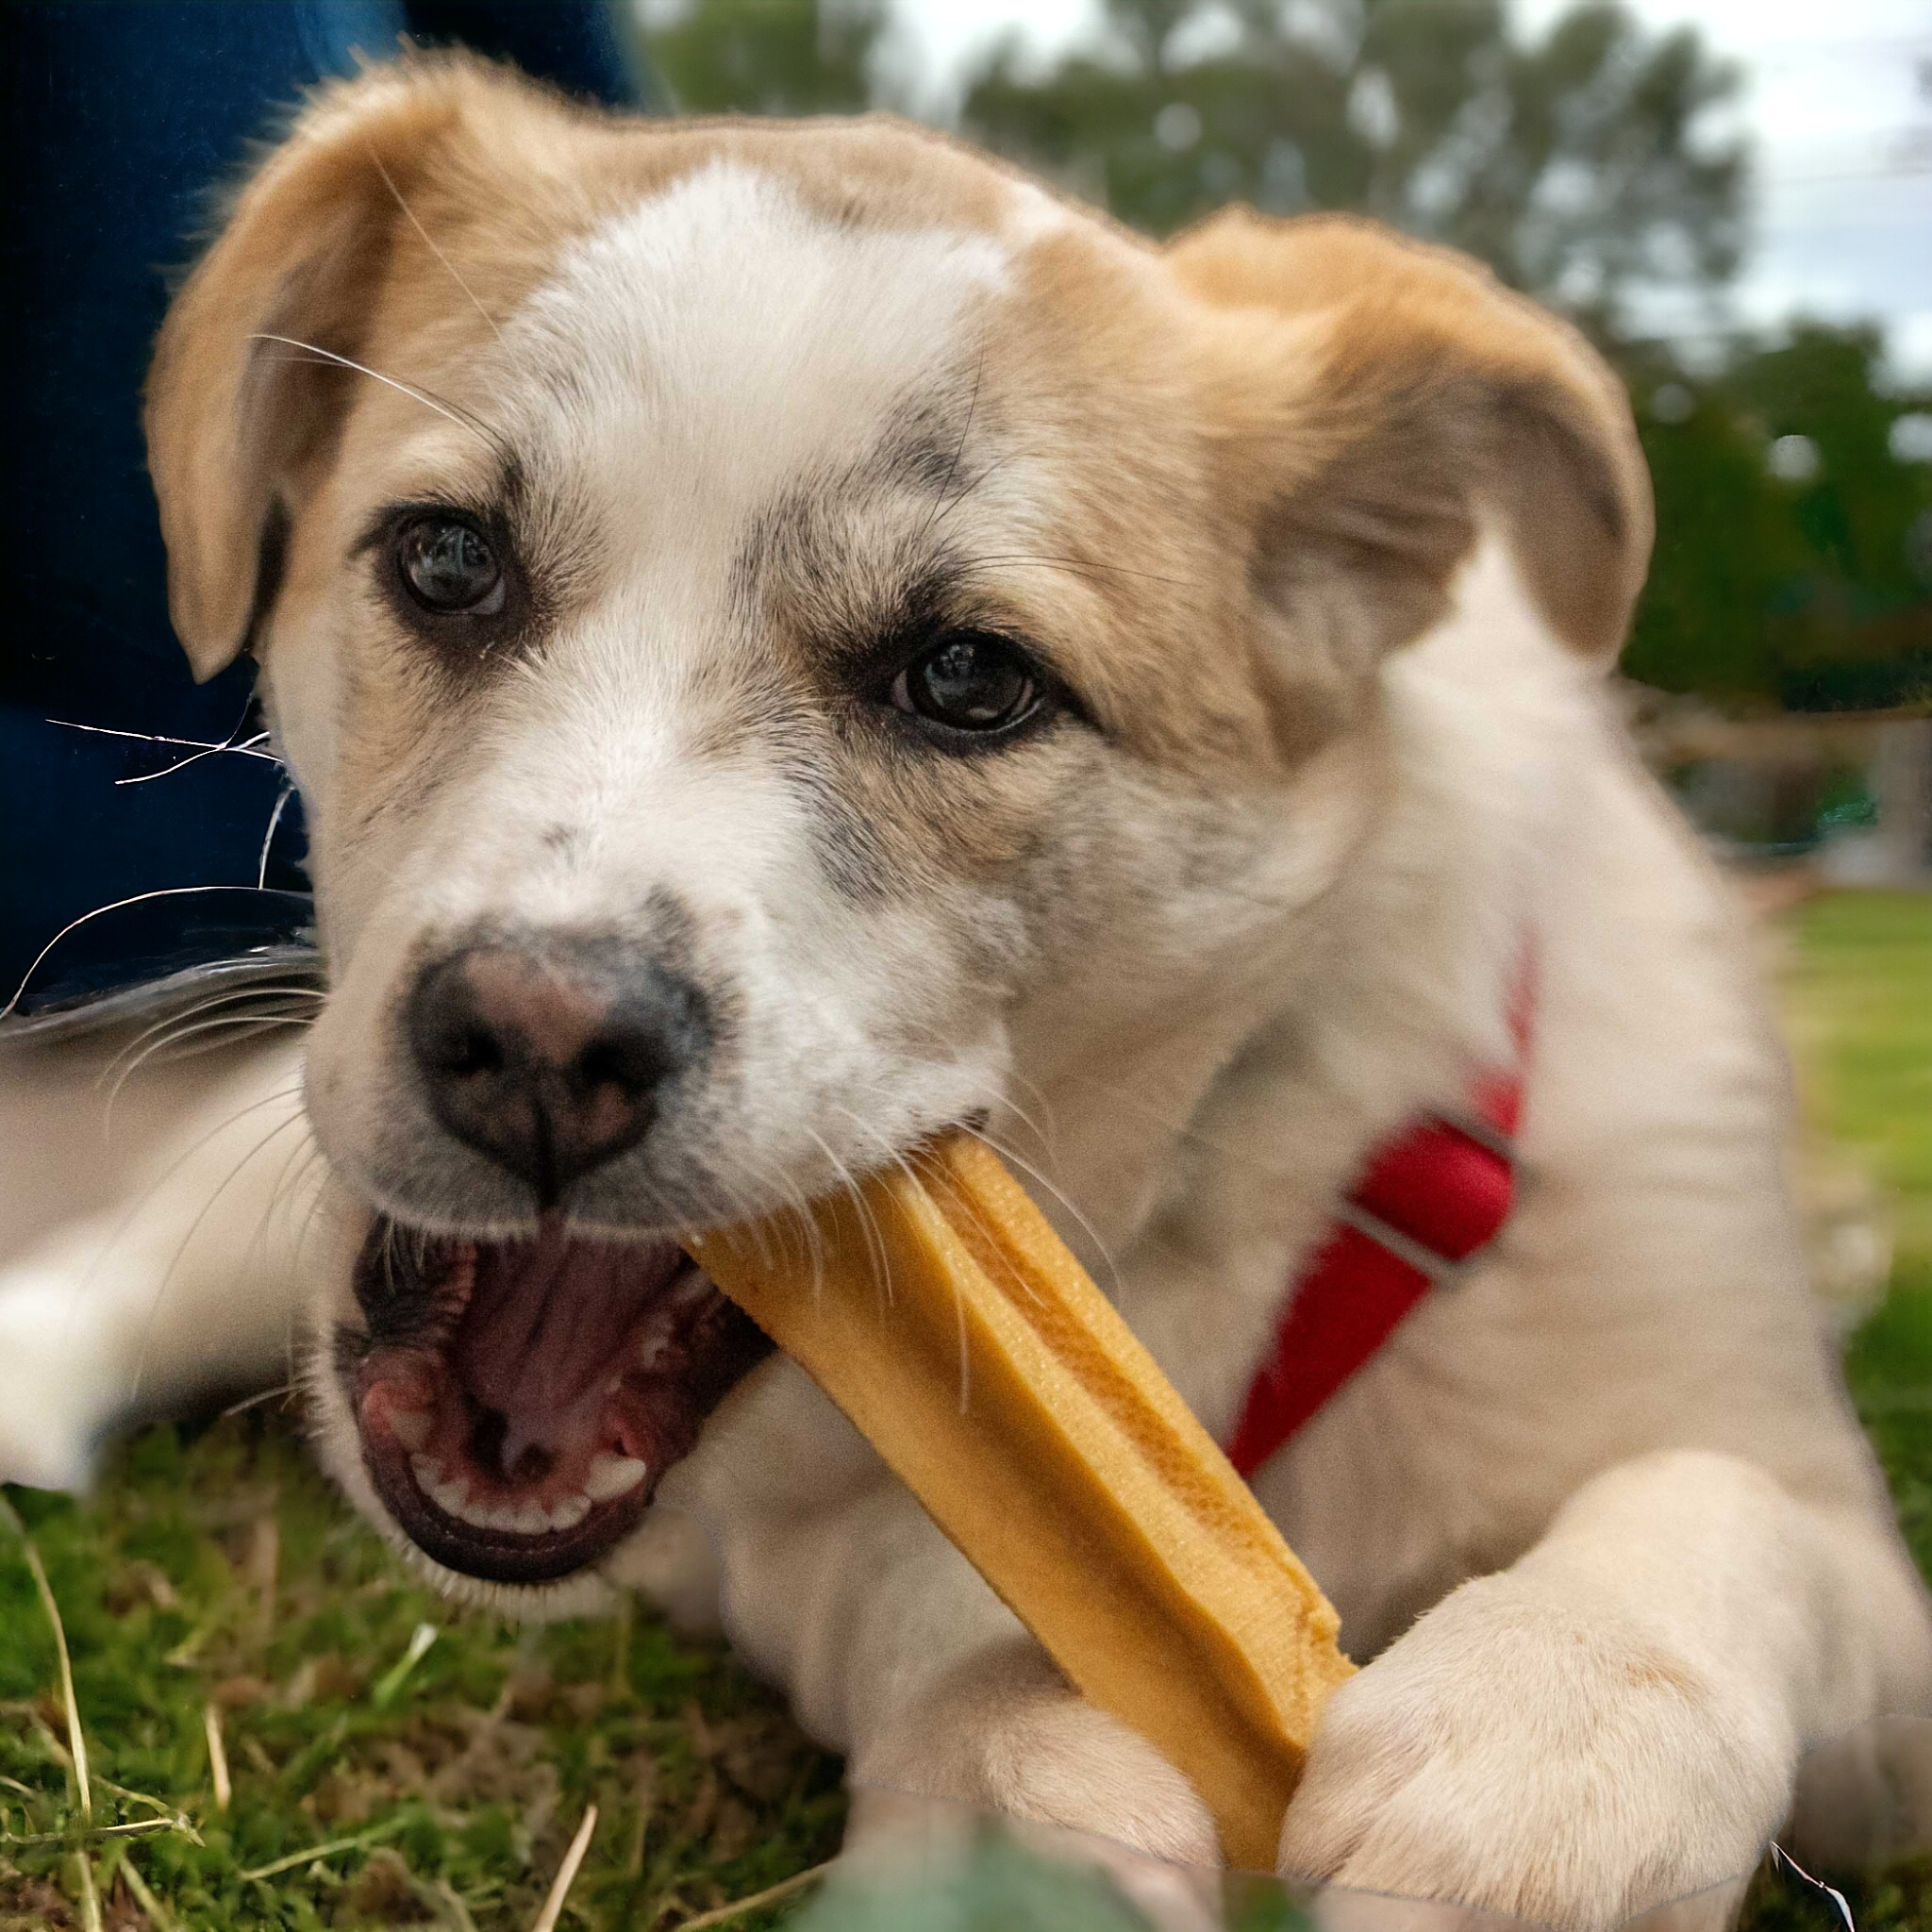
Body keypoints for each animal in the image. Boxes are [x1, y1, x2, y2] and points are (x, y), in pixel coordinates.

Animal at [4, 60, 1932, 1932]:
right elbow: (926, 1588)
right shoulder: (794, 1552)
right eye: (448, 560)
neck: (1199, 1211)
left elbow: (1717, 1498)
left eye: (966, 677)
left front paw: (1551, 1741)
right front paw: (1013, 1788)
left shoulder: (1863, 1605)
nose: (534, 1042)